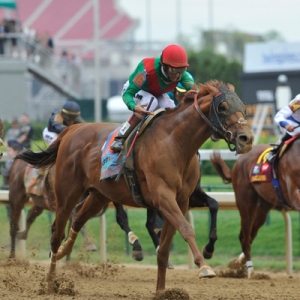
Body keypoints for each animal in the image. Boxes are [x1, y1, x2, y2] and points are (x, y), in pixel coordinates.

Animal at [15, 81, 253, 292]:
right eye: (222, 107)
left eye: (243, 106)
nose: (247, 139)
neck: (176, 142)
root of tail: (71, 130)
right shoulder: (163, 196)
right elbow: (186, 229)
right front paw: (204, 266)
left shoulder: (182, 199)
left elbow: (164, 248)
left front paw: (162, 291)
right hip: (67, 193)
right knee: (56, 232)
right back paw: (50, 282)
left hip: (99, 195)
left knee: (78, 217)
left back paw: (66, 250)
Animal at [210, 141, 300, 278]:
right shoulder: (294, 194)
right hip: (246, 203)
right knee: (245, 237)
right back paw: (250, 270)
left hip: (264, 206)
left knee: (250, 235)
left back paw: (237, 262)